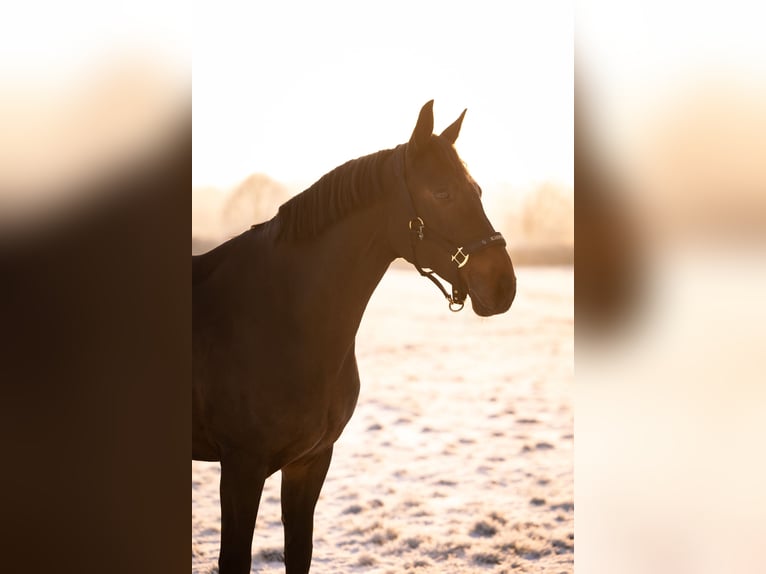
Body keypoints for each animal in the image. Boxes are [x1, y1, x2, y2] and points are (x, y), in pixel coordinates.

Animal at [192, 101, 520, 572]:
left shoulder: (310, 462)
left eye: (476, 190)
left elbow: (300, 553)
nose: (502, 286)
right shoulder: (241, 468)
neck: (280, 317)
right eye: (442, 194)